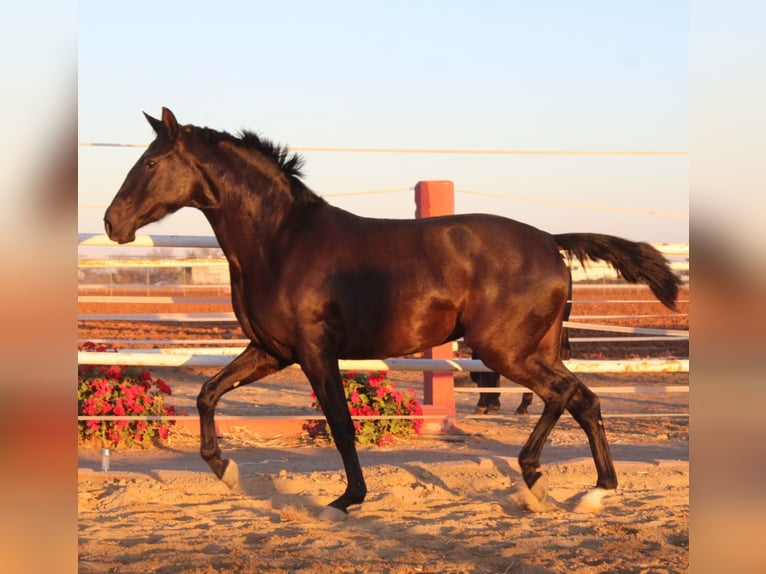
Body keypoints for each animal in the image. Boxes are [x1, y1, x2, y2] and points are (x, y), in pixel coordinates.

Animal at [103, 107, 684, 516]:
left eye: (150, 162)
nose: (113, 222)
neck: (281, 241)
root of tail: (550, 241)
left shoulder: (315, 352)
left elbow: (340, 424)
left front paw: (347, 499)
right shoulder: (271, 350)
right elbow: (207, 393)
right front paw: (226, 471)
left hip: (505, 349)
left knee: (567, 395)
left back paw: (553, 482)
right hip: (530, 349)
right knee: (580, 399)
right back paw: (576, 490)